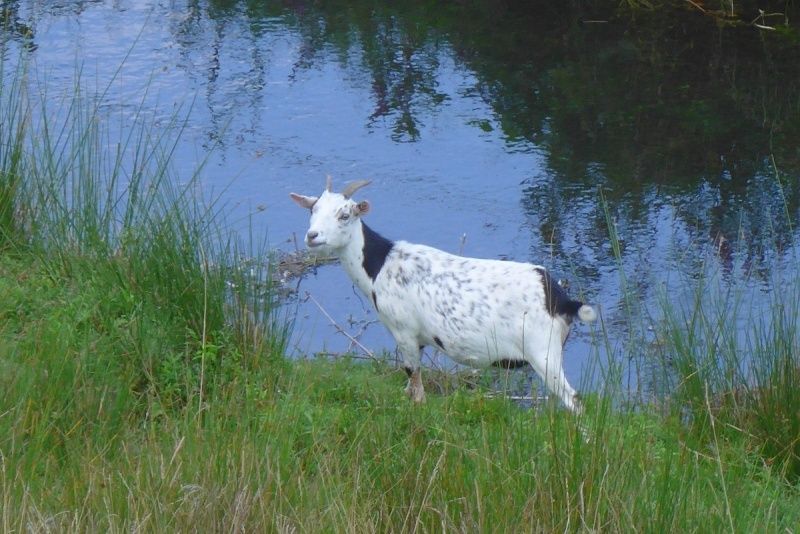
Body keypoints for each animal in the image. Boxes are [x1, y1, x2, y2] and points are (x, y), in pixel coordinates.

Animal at [290, 178, 596, 412]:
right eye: (312, 210)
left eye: (344, 215)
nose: (312, 236)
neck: (380, 265)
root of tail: (562, 299)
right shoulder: (419, 339)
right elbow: (410, 387)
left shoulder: (404, 331)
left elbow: (415, 383)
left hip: (543, 352)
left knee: (574, 400)